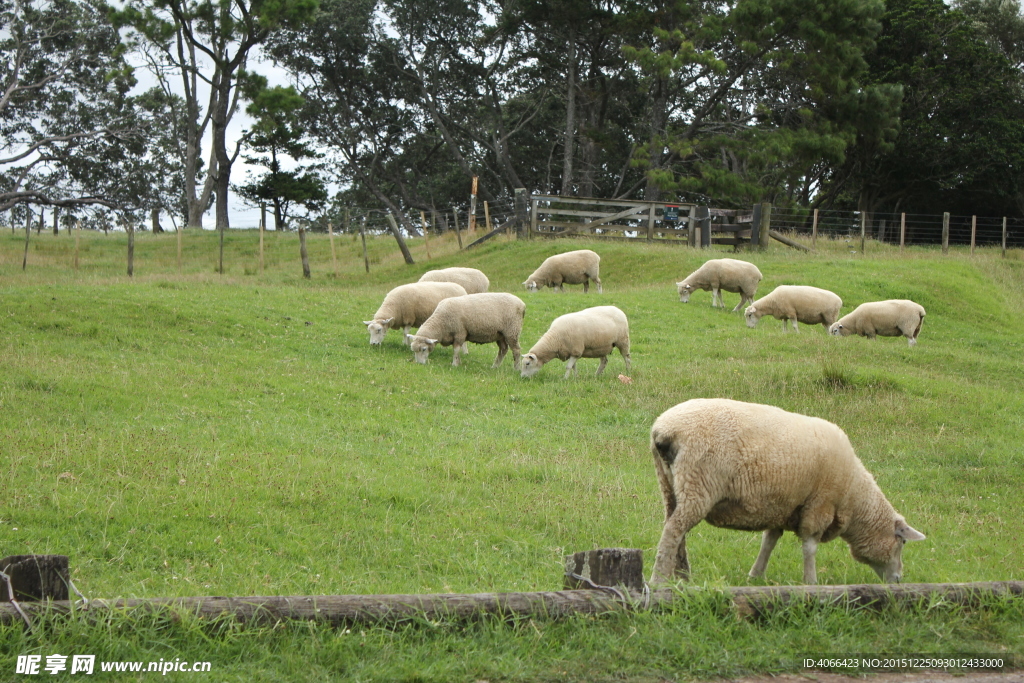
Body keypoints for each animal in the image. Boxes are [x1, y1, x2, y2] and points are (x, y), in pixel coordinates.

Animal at [647, 397, 929, 585]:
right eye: (902, 542)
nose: (898, 581)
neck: (853, 496)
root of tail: (664, 430)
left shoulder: (782, 505)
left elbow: (769, 541)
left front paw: (756, 575)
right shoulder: (819, 505)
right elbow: (810, 547)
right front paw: (811, 583)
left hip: (670, 484)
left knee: (675, 529)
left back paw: (682, 576)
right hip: (699, 482)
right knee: (674, 530)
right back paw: (659, 580)